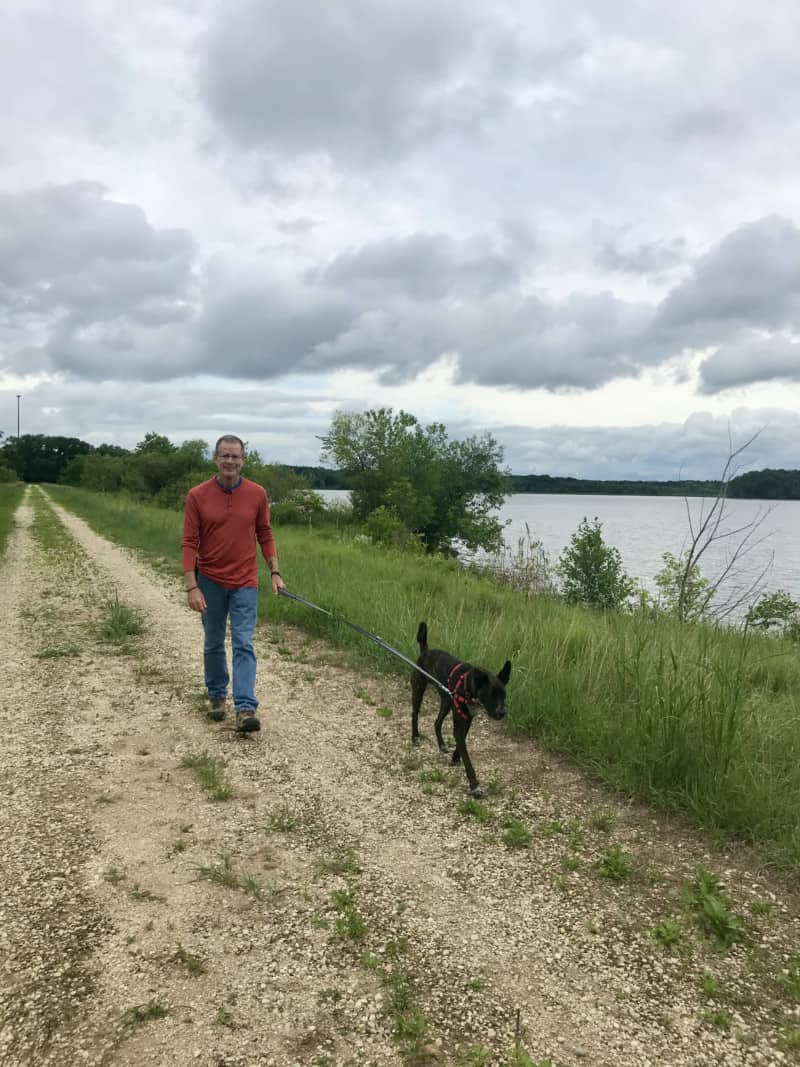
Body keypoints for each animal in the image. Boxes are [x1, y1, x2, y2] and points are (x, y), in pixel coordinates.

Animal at [413, 623, 514, 798]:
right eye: (490, 695)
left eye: (503, 695)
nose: (502, 713)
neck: (470, 686)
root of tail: (426, 651)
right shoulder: (461, 722)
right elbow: (467, 756)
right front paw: (474, 786)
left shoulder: (467, 719)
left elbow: (461, 744)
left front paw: (455, 757)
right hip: (419, 689)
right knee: (415, 714)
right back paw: (415, 736)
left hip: (446, 702)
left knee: (437, 722)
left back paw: (441, 744)